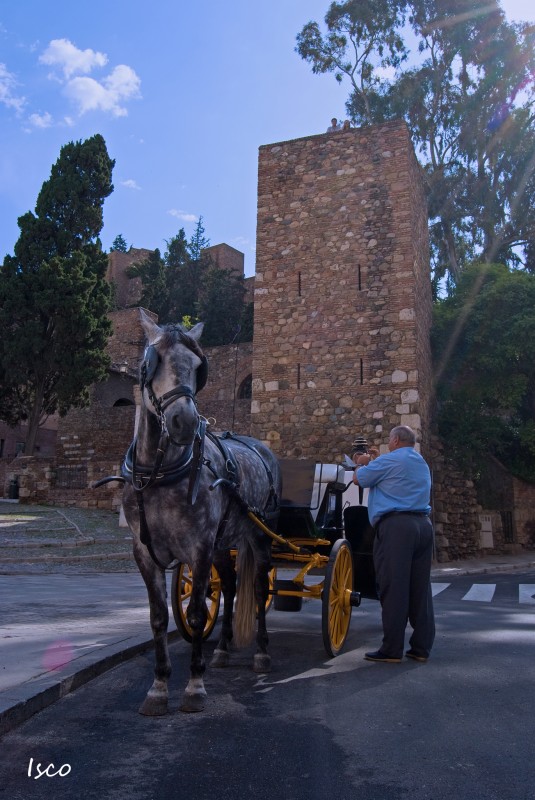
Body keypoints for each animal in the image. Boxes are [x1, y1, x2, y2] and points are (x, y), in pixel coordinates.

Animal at [121, 310, 280, 712]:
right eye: (153, 362)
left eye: (197, 366)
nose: (186, 422)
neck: (159, 473)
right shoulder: (143, 551)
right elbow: (159, 617)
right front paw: (159, 686)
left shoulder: (199, 547)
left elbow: (194, 615)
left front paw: (194, 685)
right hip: (225, 542)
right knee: (231, 586)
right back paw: (222, 649)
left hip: (260, 534)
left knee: (258, 588)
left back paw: (262, 652)